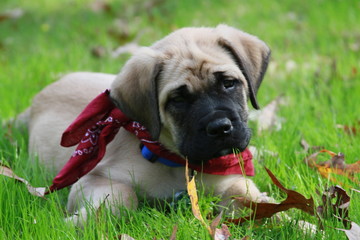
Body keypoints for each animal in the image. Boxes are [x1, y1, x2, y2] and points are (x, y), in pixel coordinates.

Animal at [26, 24, 270, 225]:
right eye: (178, 99)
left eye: (228, 83)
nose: (219, 127)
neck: (176, 162)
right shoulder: (91, 179)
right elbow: (124, 196)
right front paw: (78, 223)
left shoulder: (230, 180)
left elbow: (251, 197)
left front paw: (279, 218)